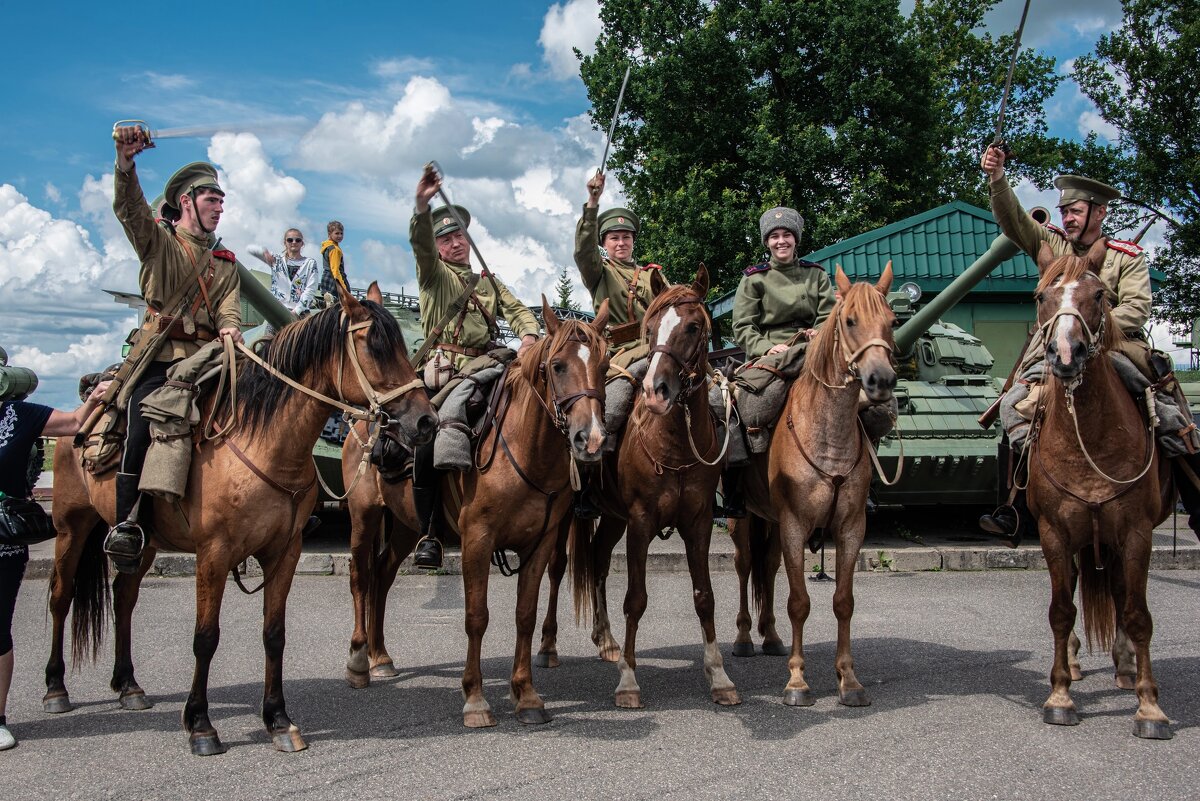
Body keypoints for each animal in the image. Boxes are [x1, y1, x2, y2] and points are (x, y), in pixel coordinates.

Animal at [45, 284, 436, 753]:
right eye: (375, 347)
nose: (426, 420)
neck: (263, 439)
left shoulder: (285, 551)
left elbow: (274, 633)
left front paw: (279, 720)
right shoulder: (213, 554)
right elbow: (205, 637)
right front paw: (200, 724)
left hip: (147, 540)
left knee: (124, 596)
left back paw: (128, 685)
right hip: (72, 523)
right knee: (61, 596)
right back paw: (56, 688)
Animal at [345, 297, 614, 729]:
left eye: (604, 366)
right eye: (557, 366)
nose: (590, 440)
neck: (523, 449)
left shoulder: (540, 544)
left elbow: (525, 615)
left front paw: (527, 695)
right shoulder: (478, 540)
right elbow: (476, 616)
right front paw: (474, 697)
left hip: (406, 526)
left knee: (382, 575)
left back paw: (380, 656)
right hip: (364, 517)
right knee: (360, 578)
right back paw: (358, 663)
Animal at [559, 267, 739, 705]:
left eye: (694, 326)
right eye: (652, 327)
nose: (656, 392)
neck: (674, 443)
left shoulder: (698, 523)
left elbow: (705, 598)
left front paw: (719, 676)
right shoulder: (640, 523)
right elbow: (635, 600)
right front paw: (628, 680)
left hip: (612, 518)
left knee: (598, 561)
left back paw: (606, 640)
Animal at [729, 263, 892, 705]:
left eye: (892, 321)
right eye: (849, 320)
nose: (881, 380)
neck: (827, 432)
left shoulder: (851, 528)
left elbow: (843, 602)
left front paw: (849, 680)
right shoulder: (794, 525)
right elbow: (799, 602)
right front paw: (798, 681)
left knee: (767, 569)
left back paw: (770, 637)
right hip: (743, 520)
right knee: (745, 566)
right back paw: (745, 638)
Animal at [1022, 239, 1171, 738]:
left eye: (1099, 295)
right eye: (1040, 296)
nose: (1066, 355)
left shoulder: (1137, 531)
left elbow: (1138, 613)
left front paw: (1150, 707)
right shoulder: (1053, 530)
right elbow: (1060, 610)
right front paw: (1060, 696)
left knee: (1123, 592)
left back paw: (1125, 667)